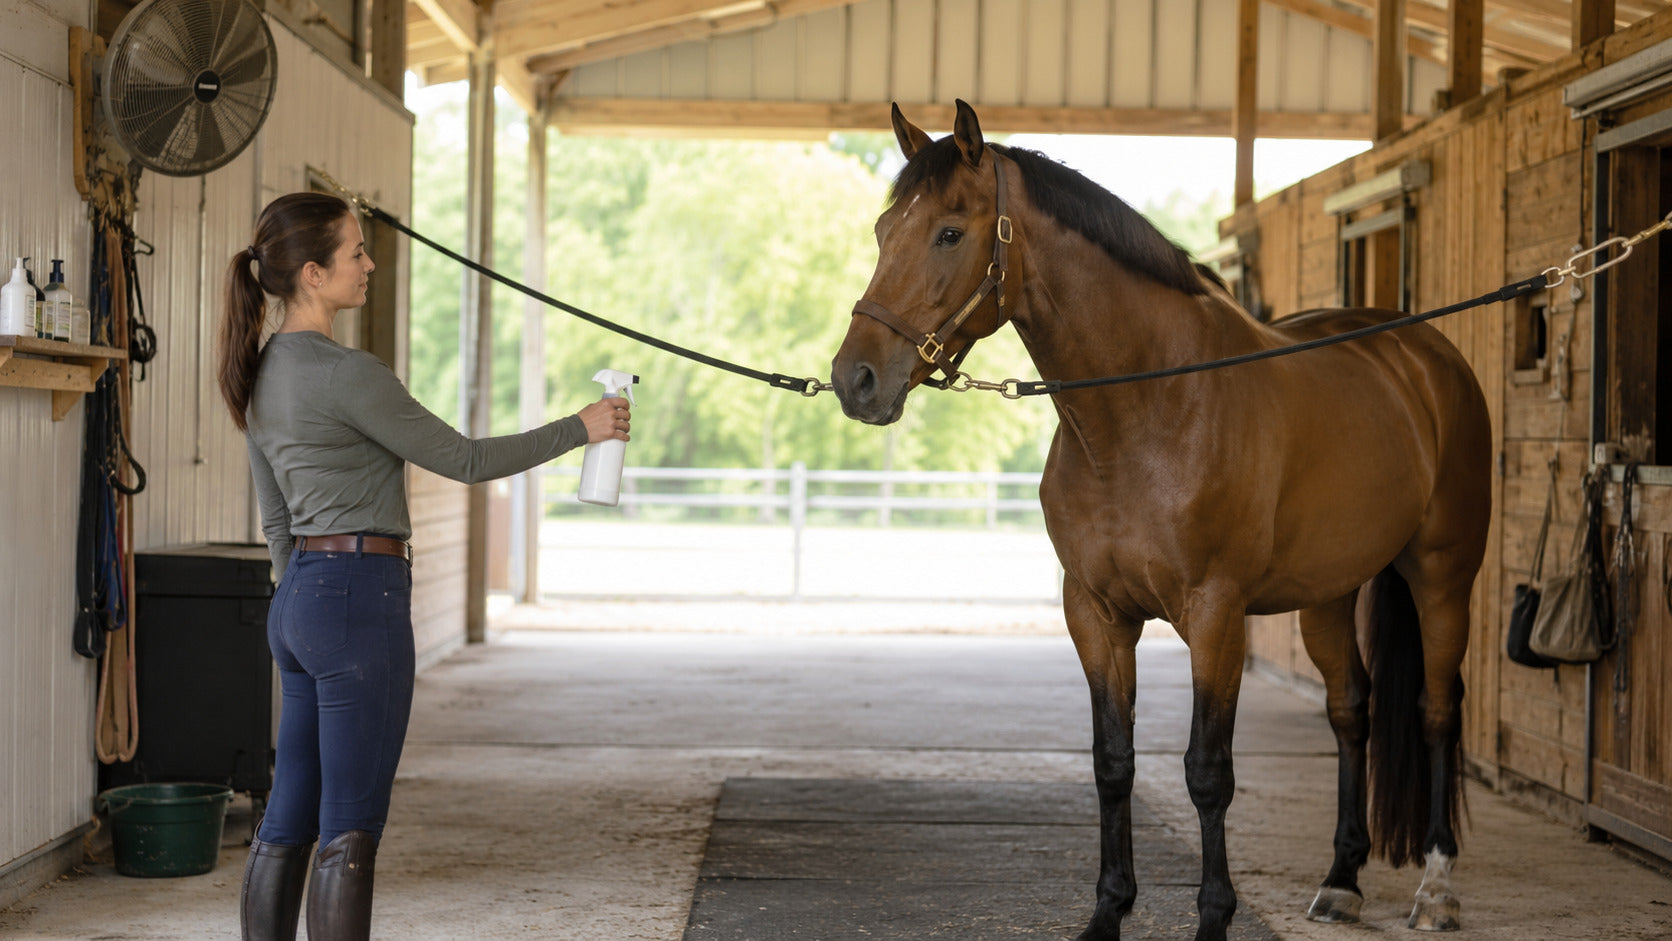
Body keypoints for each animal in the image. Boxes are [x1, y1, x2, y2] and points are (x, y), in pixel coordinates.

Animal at [830, 101, 1488, 941]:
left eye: (949, 231)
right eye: (886, 230)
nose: (856, 378)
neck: (1145, 410)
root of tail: (1425, 355)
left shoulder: (1214, 615)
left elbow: (1207, 773)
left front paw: (1213, 917)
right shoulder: (1096, 613)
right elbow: (1113, 763)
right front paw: (1107, 912)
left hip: (1442, 575)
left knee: (1437, 709)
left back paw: (1436, 887)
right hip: (1329, 593)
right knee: (1351, 710)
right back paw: (1341, 879)